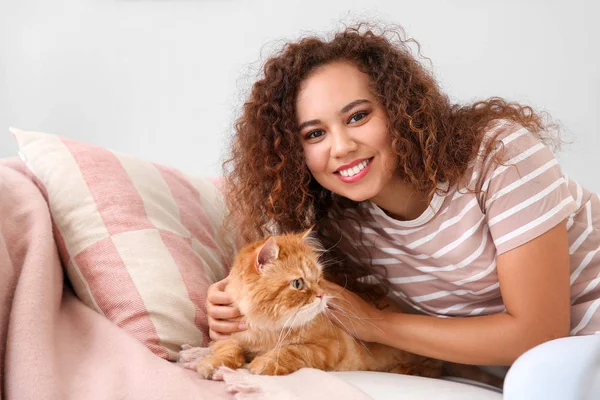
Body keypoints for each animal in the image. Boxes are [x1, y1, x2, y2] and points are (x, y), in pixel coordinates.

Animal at [196, 230, 446, 380]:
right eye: (298, 283)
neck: (266, 332)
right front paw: (213, 364)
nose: (322, 295)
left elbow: (288, 351)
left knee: (431, 368)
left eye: (319, 278)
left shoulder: (326, 347)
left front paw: (263, 363)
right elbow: (227, 349)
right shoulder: (227, 338)